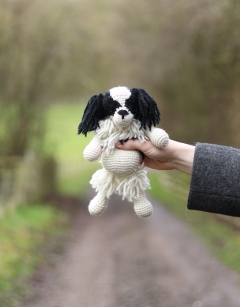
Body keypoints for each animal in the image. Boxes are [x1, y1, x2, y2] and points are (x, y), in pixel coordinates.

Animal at [78, 85, 169, 218]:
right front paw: (89, 153)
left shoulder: (142, 129)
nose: (123, 112)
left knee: (138, 191)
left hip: (135, 179)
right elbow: (97, 140)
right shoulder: (103, 132)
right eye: (111, 106)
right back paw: (96, 206)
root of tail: (120, 180)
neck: (121, 129)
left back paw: (144, 209)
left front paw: (162, 138)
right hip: (108, 177)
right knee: (104, 189)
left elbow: (152, 131)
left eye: (130, 105)